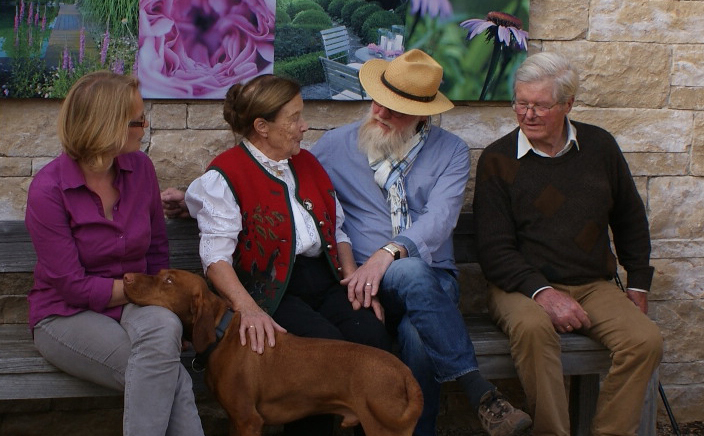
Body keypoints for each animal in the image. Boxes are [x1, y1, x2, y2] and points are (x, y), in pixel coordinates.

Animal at [123, 269, 423, 436]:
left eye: (168, 280)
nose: (125, 277)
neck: (221, 334)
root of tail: (405, 372)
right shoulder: (235, 420)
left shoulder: (248, 420)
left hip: (384, 428)